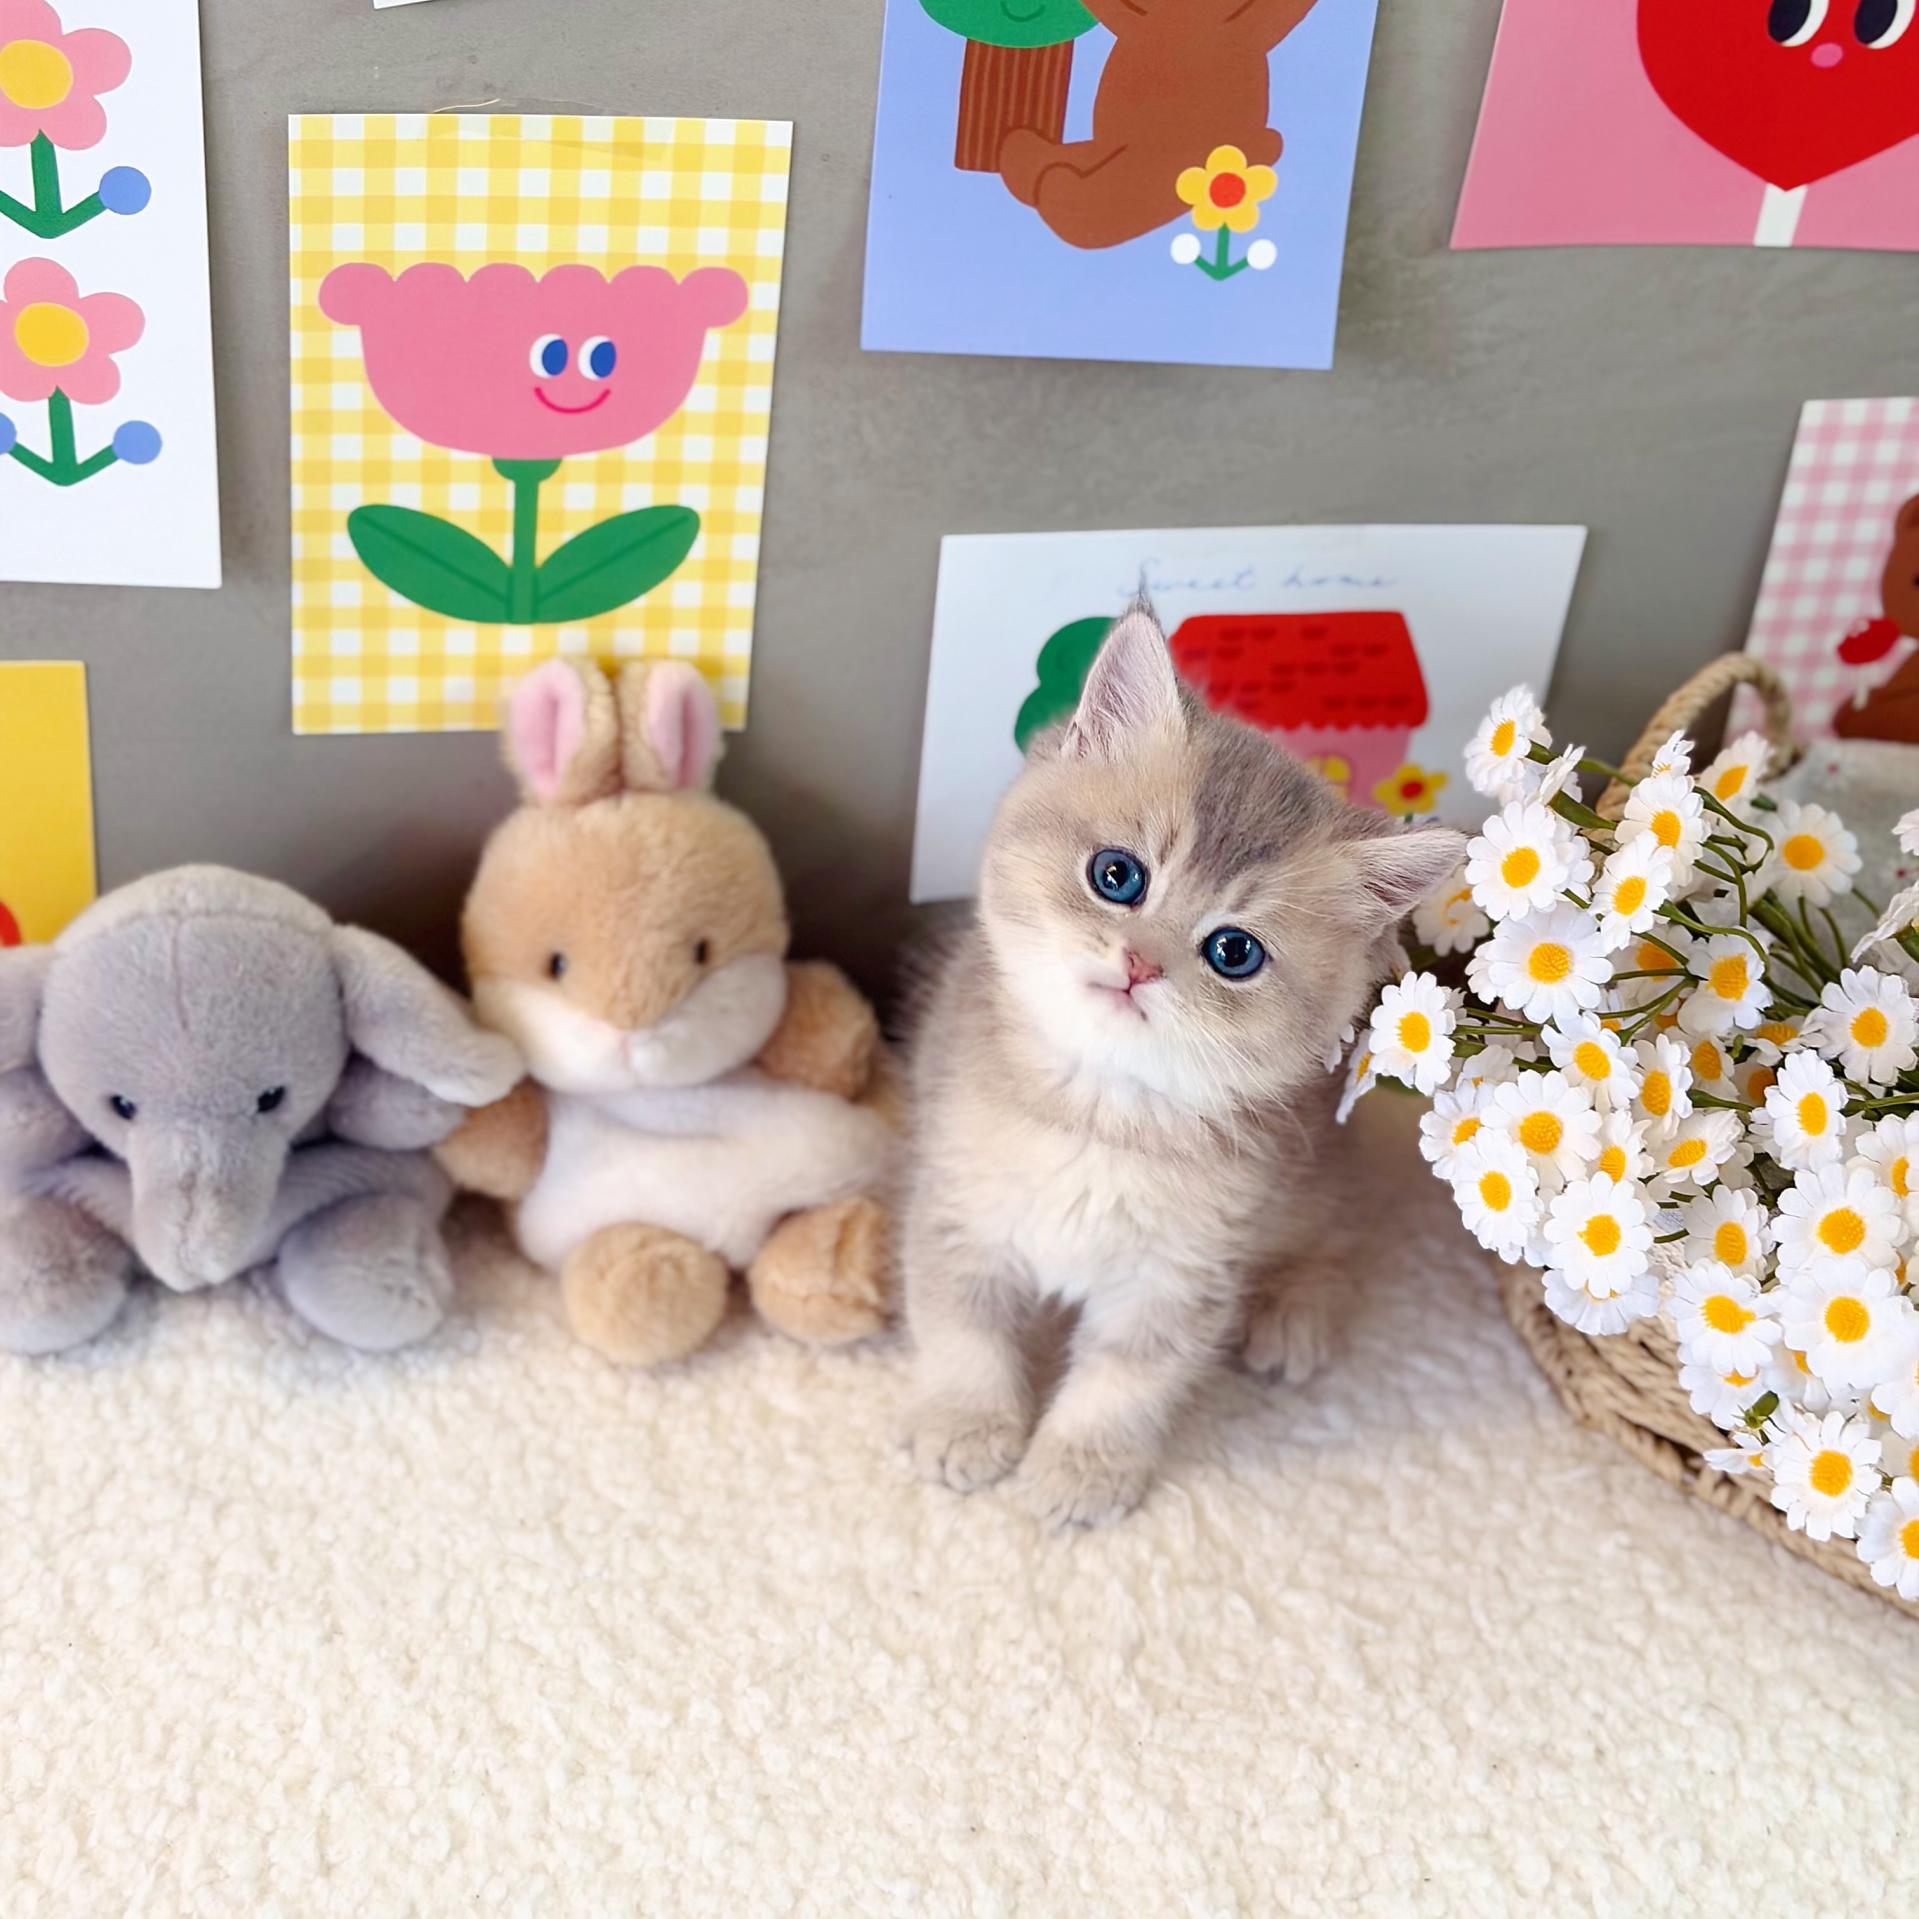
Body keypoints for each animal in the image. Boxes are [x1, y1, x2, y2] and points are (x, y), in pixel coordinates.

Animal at [899, 605, 1463, 1528]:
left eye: (1233, 952)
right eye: (1115, 875)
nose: (1138, 964)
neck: (1100, 1115)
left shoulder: (1180, 1273)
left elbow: (1125, 1381)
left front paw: (1081, 1468)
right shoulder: (956, 1204)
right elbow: (961, 1327)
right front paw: (966, 1421)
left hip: (1315, 1179)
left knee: (1338, 1236)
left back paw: (1293, 1312)